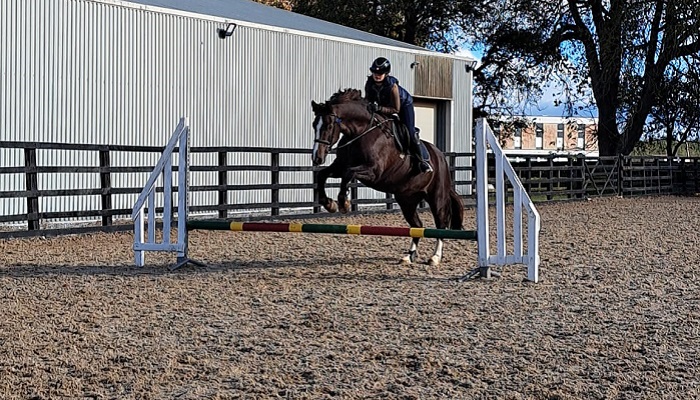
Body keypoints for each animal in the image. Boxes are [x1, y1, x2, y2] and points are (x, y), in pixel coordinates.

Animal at [310, 88, 464, 266]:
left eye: (328, 125)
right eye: (314, 125)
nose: (317, 157)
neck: (360, 132)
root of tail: (440, 156)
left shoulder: (373, 172)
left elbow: (349, 173)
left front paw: (343, 203)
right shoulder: (339, 167)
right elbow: (322, 175)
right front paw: (329, 204)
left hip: (436, 196)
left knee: (441, 223)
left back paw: (435, 257)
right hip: (407, 199)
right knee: (417, 225)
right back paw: (409, 256)